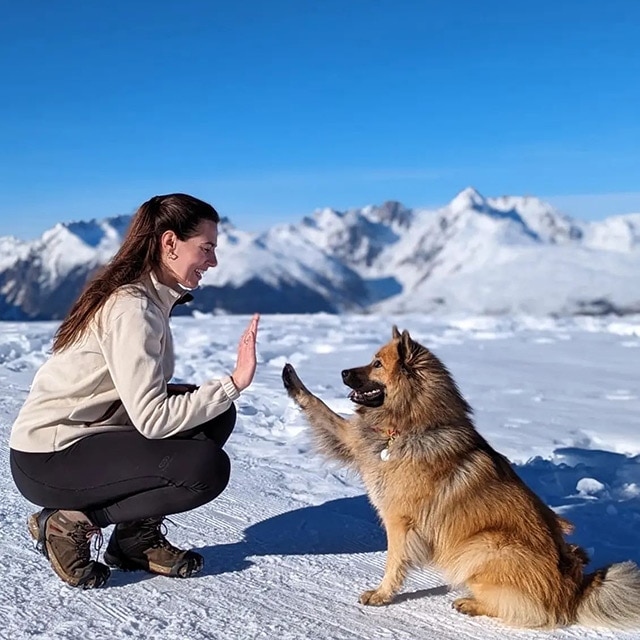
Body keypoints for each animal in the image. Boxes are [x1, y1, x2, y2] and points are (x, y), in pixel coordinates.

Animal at [282, 328, 640, 628]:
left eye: (377, 364)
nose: (343, 373)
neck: (409, 428)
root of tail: (575, 589)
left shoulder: (400, 522)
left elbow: (394, 563)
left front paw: (382, 595)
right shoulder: (356, 442)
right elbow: (322, 410)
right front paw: (291, 379)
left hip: (486, 544)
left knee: (529, 612)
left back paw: (470, 603)